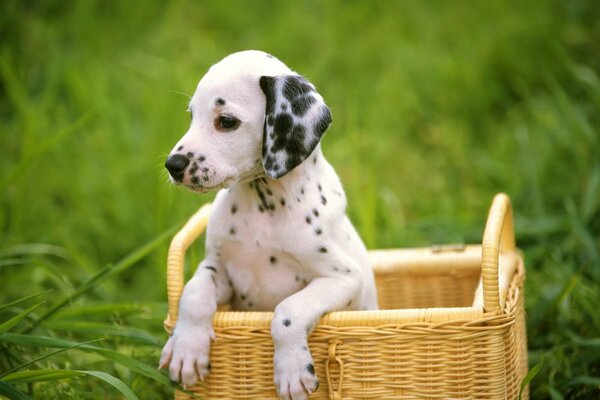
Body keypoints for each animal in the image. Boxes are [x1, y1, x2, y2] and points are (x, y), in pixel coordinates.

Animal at [159, 50, 376, 400]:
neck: (263, 206)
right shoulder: (222, 270)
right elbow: (193, 291)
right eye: (192, 115)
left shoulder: (343, 277)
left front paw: (292, 371)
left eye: (227, 121)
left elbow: (288, 310)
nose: (173, 165)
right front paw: (186, 349)